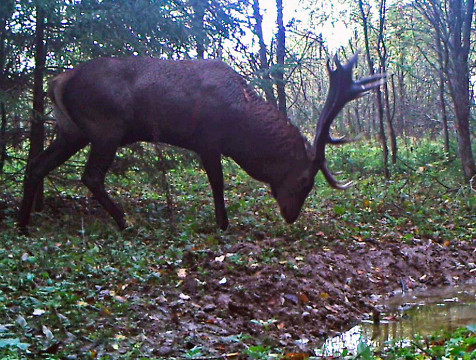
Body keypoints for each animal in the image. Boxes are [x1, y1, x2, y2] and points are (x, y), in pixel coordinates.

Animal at [17, 53, 384, 233]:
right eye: (306, 179)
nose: (291, 215)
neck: (240, 124)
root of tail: (58, 81)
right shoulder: (207, 139)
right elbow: (217, 183)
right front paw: (223, 224)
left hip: (71, 131)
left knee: (35, 164)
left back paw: (23, 225)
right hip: (106, 127)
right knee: (91, 176)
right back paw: (125, 222)